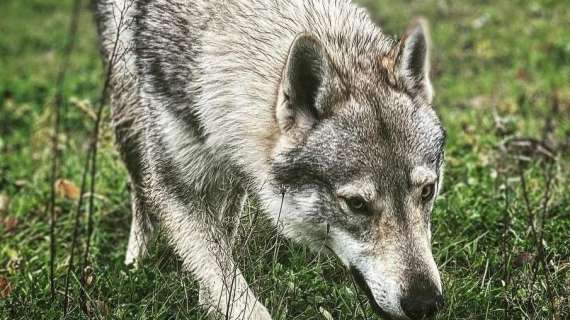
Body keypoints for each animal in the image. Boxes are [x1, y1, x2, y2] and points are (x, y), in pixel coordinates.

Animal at [95, 0, 446, 318]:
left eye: (427, 192)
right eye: (356, 204)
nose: (426, 304)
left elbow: (220, 257)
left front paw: (208, 302)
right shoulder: (175, 188)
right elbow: (228, 281)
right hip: (128, 118)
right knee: (140, 194)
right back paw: (135, 265)